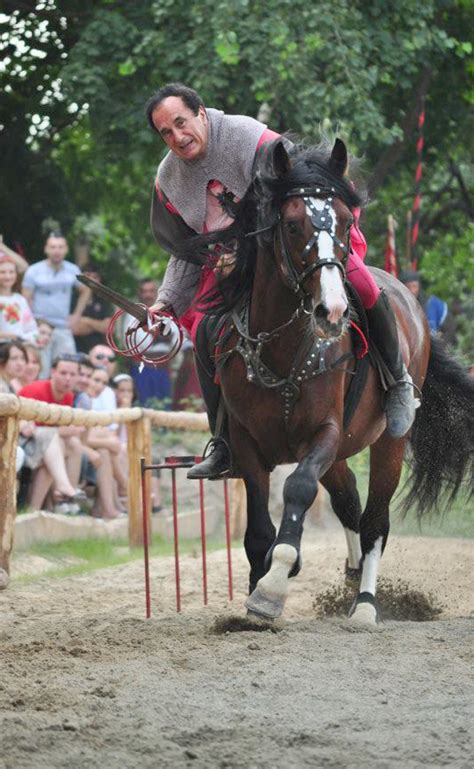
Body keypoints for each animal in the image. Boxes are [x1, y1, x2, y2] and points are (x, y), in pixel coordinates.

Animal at [184, 140, 470, 624]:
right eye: (292, 223)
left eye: (347, 221)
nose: (332, 311)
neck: (281, 352)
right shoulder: (247, 444)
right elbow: (258, 528)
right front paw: (257, 593)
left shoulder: (324, 435)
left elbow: (298, 489)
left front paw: (274, 585)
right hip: (340, 456)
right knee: (349, 503)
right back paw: (352, 577)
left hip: (388, 443)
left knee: (374, 522)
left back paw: (366, 604)